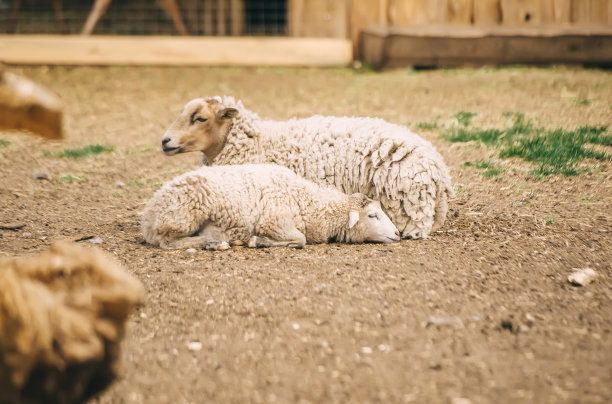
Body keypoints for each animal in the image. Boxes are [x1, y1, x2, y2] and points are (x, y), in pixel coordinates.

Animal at [140, 163, 400, 248]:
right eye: (373, 215)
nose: (398, 233)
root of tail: (149, 217)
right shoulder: (275, 221)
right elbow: (300, 240)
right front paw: (259, 241)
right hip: (184, 214)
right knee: (167, 242)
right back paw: (212, 242)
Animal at [160, 96, 452, 238]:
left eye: (200, 118)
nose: (165, 141)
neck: (259, 139)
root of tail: (437, 165)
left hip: (407, 200)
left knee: (418, 224)